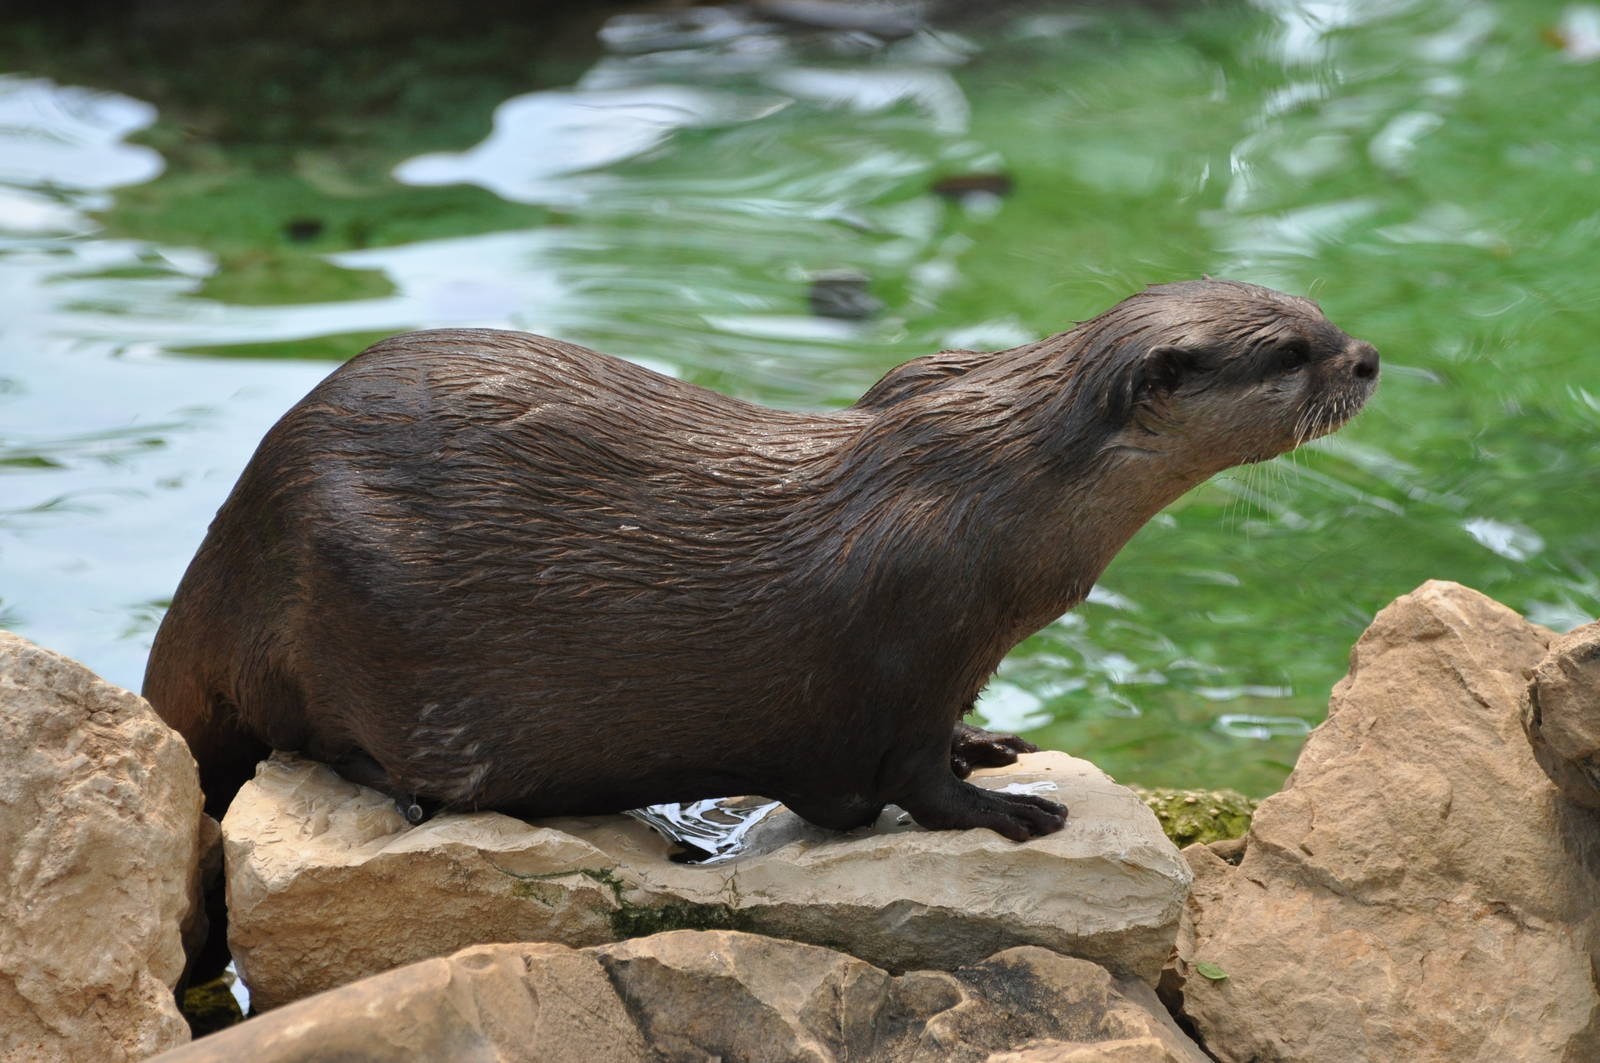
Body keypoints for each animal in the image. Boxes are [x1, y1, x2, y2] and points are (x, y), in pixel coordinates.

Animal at [143, 278, 1378, 840]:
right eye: (1288, 351)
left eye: (1317, 310)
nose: (1367, 354)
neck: (1004, 499)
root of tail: (231, 537)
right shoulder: (909, 641)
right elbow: (911, 780)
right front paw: (1010, 811)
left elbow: (947, 738)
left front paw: (996, 745)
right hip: (337, 593)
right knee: (300, 736)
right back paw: (405, 790)